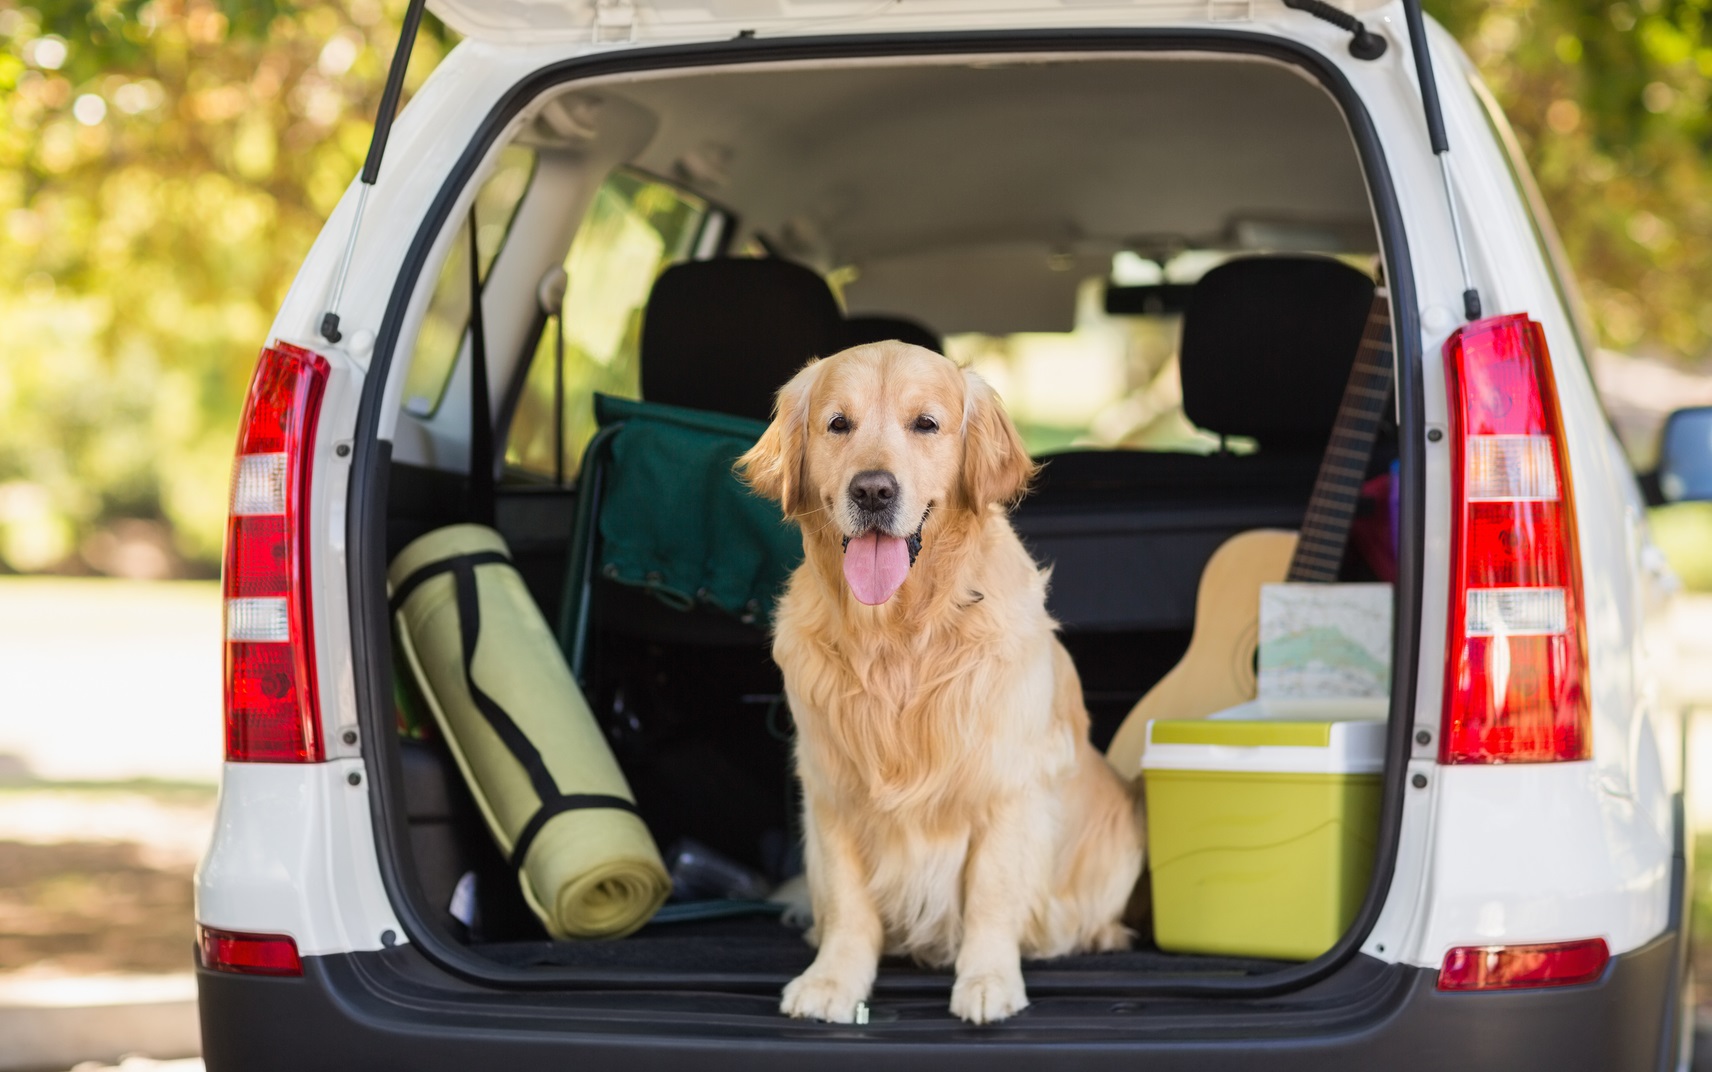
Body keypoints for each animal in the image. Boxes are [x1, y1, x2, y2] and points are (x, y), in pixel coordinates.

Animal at [743, 340, 1143, 1020]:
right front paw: (834, 981)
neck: (899, 636)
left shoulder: (1007, 786)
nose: (873, 490)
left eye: (925, 424)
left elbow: (992, 894)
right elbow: (848, 903)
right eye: (838, 423)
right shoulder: (831, 786)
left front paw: (987, 980)